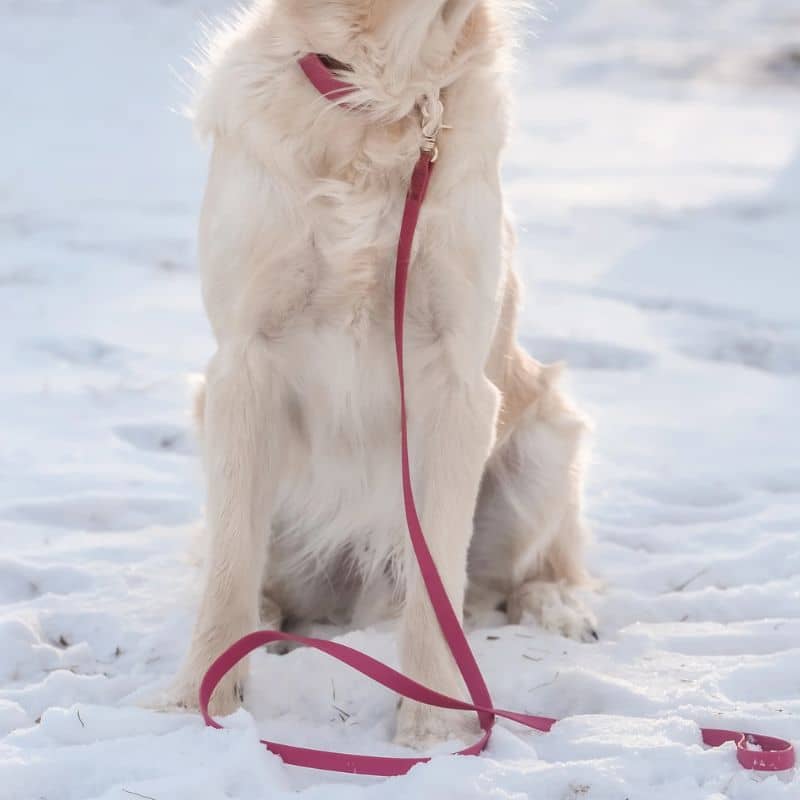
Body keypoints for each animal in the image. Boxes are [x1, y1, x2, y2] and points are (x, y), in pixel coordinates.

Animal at [177, 1, 600, 752]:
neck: (385, 98)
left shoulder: (459, 382)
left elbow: (438, 580)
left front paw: (435, 728)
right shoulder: (242, 365)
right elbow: (228, 566)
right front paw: (202, 699)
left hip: (548, 439)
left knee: (520, 575)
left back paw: (557, 606)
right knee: (255, 572)